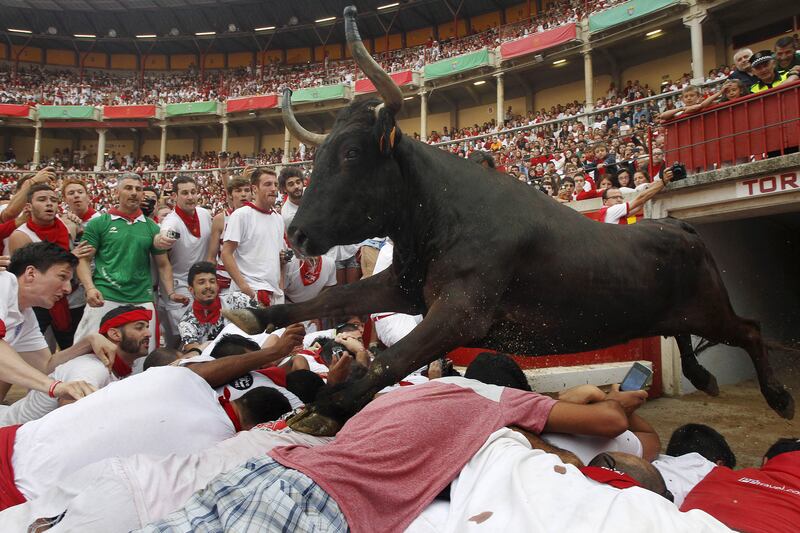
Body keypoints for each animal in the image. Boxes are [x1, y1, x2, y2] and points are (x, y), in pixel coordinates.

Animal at [225, 5, 794, 435]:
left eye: (349, 154)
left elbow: (391, 358)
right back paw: (704, 377)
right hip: (674, 312)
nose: (297, 234)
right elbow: (336, 297)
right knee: (688, 335)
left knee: (750, 329)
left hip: (710, 307)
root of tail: (678, 226)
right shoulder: (404, 286)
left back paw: (779, 397)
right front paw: (261, 316)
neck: (437, 217)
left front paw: (324, 409)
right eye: (318, 158)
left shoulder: (461, 311)